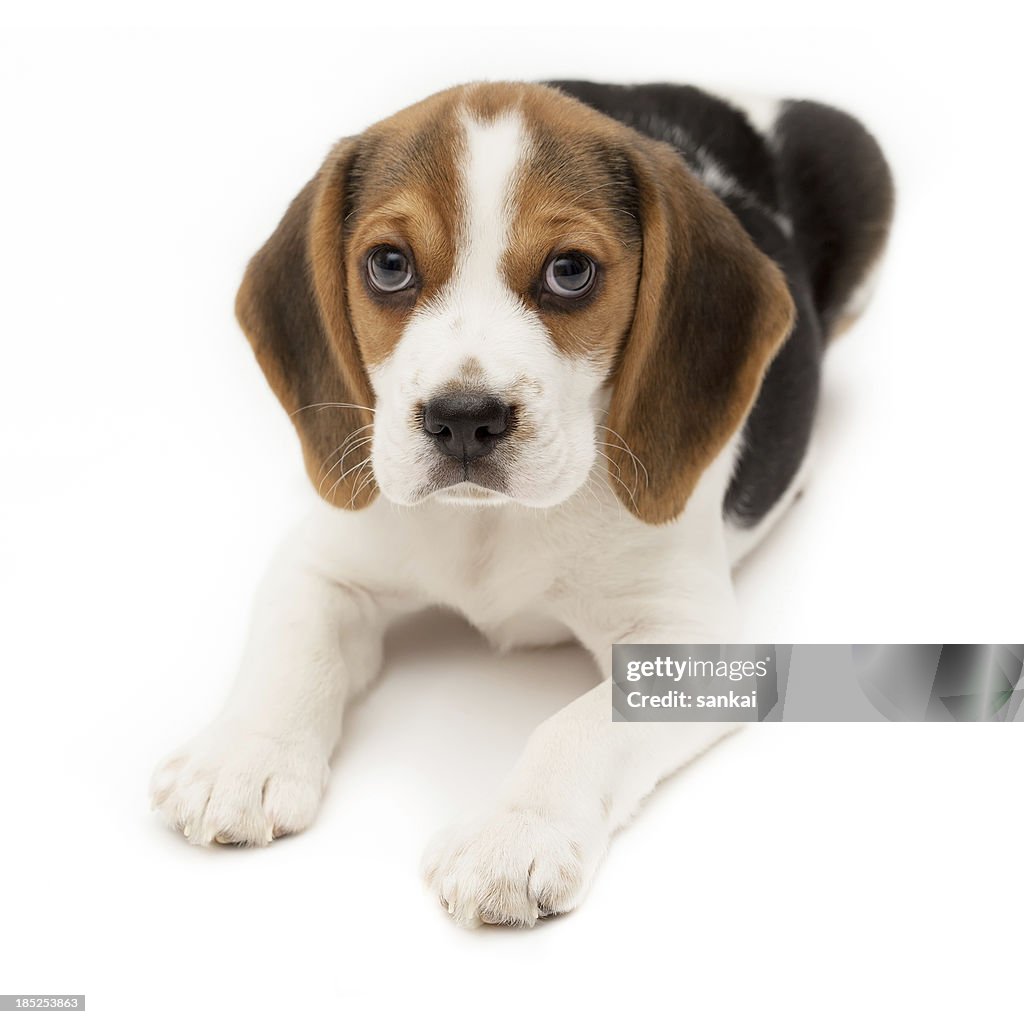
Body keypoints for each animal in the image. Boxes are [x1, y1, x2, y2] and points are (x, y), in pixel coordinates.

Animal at [148, 81, 892, 929]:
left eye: (571, 271)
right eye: (389, 265)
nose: (464, 418)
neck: (489, 521)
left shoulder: (694, 645)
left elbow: (575, 727)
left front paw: (515, 836)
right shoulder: (323, 563)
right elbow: (293, 649)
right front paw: (242, 758)